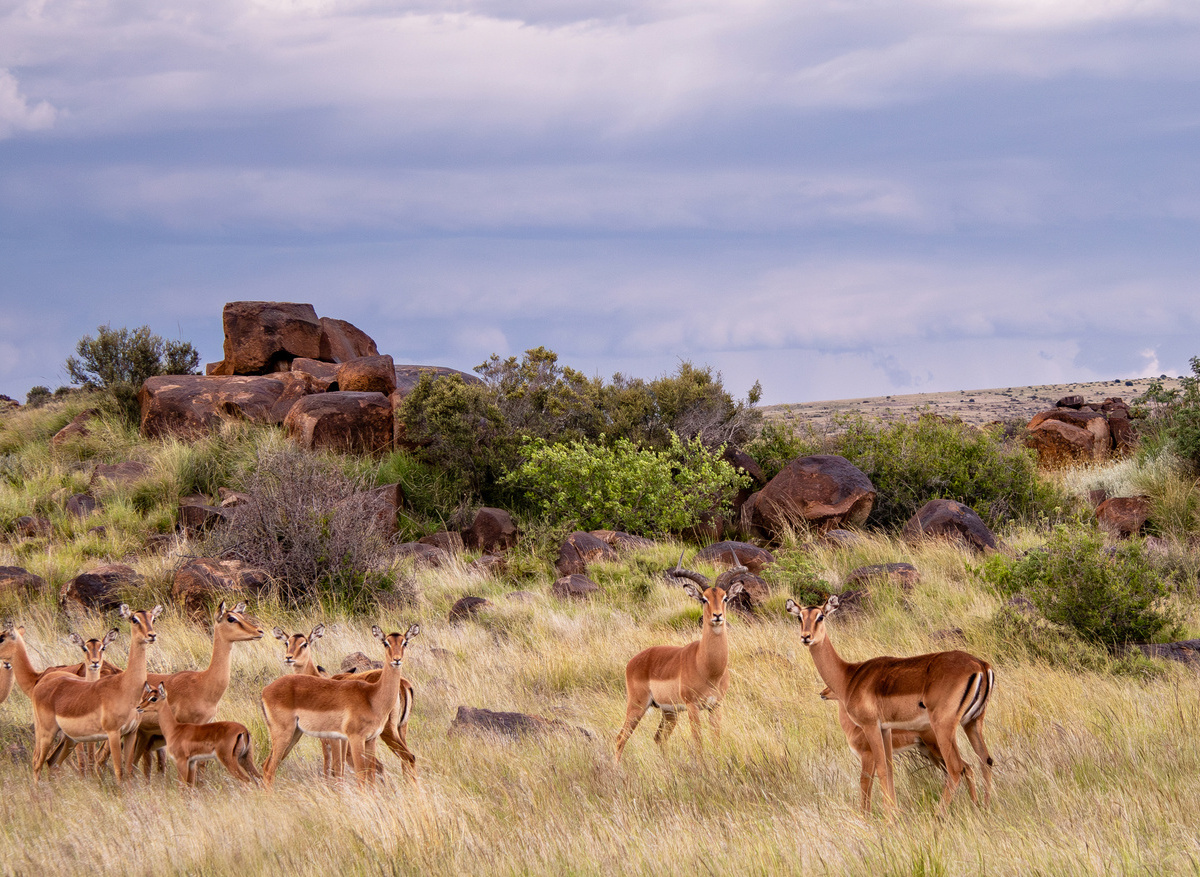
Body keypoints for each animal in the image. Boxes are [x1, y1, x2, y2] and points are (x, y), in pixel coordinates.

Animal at [29, 604, 163, 782]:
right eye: (134, 619)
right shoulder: (113, 734)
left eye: (153, 618)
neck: (126, 687)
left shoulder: (131, 733)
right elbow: (119, 771)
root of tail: (40, 684)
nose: (152, 635)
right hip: (46, 733)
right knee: (37, 763)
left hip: (69, 739)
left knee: (51, 762)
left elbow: (128, 771)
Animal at [260, 624, 419, 788]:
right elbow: (344, 771)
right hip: (285, 735)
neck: (372, 696)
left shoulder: (365, 739)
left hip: (293, 735)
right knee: (269, 768)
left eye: (405, 642)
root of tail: (266, 690)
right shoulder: (347, 739)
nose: (397, 660)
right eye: (386, 643)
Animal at [613, 552, 746, 764]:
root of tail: (634, 660)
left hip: (669, 712)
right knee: (620, 738)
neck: (708, 668)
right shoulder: (693, 707)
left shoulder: (715, 706)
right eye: (704, 599)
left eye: (725, 597)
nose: (717, 616)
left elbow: (716, 740)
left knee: (658, 738)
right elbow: (698, 742)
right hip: (637, 706)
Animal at [786, 595, 995, 814]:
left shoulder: (870, 727)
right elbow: (889, 770)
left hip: (944, 727)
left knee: (957, 769)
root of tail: (981, 665)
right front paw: (893, 814)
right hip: (972, 722)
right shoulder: (885, 729)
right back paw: (983, 809)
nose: (806, 637)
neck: (849, 677)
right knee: (985, 760)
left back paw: (940, 815)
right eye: (800, 617)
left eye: (821, 616)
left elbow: (880, 771)